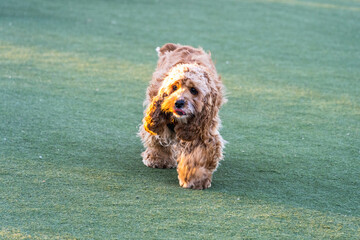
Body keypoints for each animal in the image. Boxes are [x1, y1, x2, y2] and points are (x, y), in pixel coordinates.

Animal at [139, 43, 226, 189]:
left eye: (193, 90)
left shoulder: (203, 130)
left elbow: (198, 156)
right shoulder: (159, 120)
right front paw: (158, 159)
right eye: (174, 87)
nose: (178, 102)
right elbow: (157, 139)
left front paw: (194, 178)